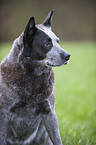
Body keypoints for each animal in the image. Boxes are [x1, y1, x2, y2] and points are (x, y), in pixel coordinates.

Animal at [0, 9, 70, 144]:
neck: (34, 79)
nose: (68, 55)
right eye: (47, 43)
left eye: (57, 41)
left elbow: (57, 139)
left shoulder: (49, 113)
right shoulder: (4, 114)